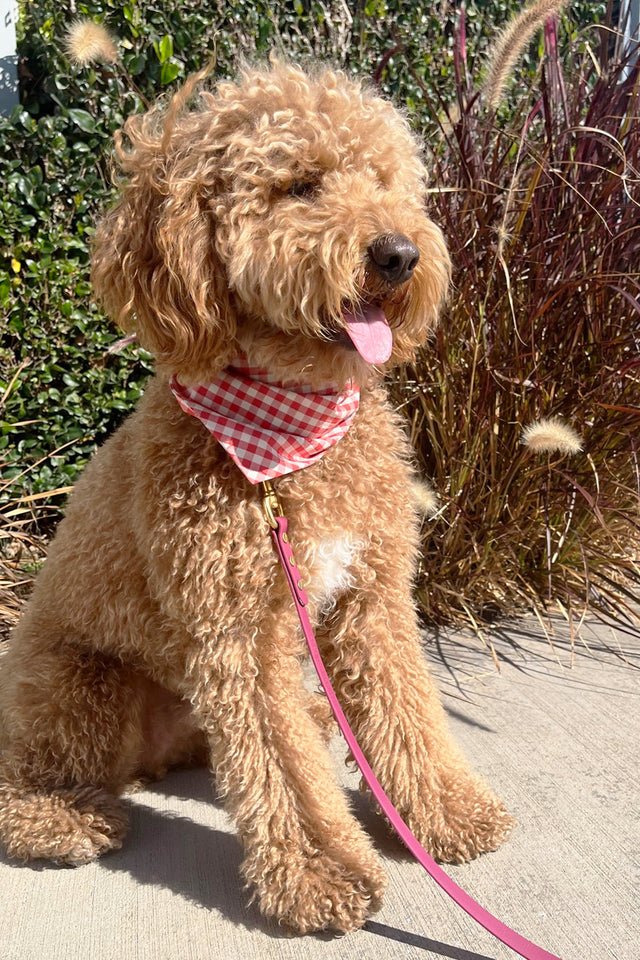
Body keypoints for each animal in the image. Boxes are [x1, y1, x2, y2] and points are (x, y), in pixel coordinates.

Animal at [0, 60, 510, 928]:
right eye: (300, 185)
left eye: (385, 181)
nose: (400, 254)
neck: (291, 435)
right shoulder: (241, 630)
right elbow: (284, 768)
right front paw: (323, 871)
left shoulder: (372, 598)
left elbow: (406, 709)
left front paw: (445, 813)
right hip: (77, 687)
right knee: (28, 777)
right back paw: (63, 819)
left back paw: (314, 717)